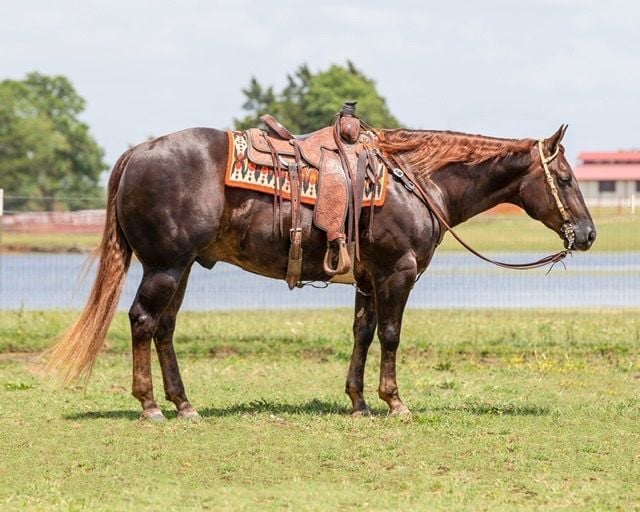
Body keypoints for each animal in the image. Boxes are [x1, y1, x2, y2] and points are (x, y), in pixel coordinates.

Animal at [45, 123, 596, 420]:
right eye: (566, 178)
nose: (589, 235)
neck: (416, 181)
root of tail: (139, 151)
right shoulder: (398, 273)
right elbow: (391, 335)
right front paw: (395, 402)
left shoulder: (370, 278)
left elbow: (363, 332)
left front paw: (358, 401)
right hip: (165, 266)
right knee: (143, 321)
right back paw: (151, 406)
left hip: (179, 269)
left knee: (164, 328)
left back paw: (183, 404)